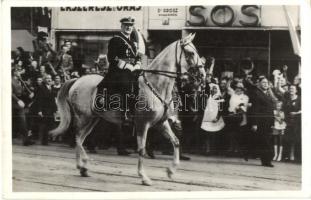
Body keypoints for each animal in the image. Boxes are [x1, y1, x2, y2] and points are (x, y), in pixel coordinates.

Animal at [50, 32, 206, 186]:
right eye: (191, 53)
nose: (203, 75)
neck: (156, 86)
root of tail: (77, 80)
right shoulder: (142, 124)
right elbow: (141, 149)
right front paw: (144, 177)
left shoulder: (161, 123)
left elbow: (176, 142)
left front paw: (171, 171)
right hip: (84, 117)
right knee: (77, 138)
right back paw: (83, 164)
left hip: (93, 119)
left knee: (81, 139)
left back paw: (83, 168)